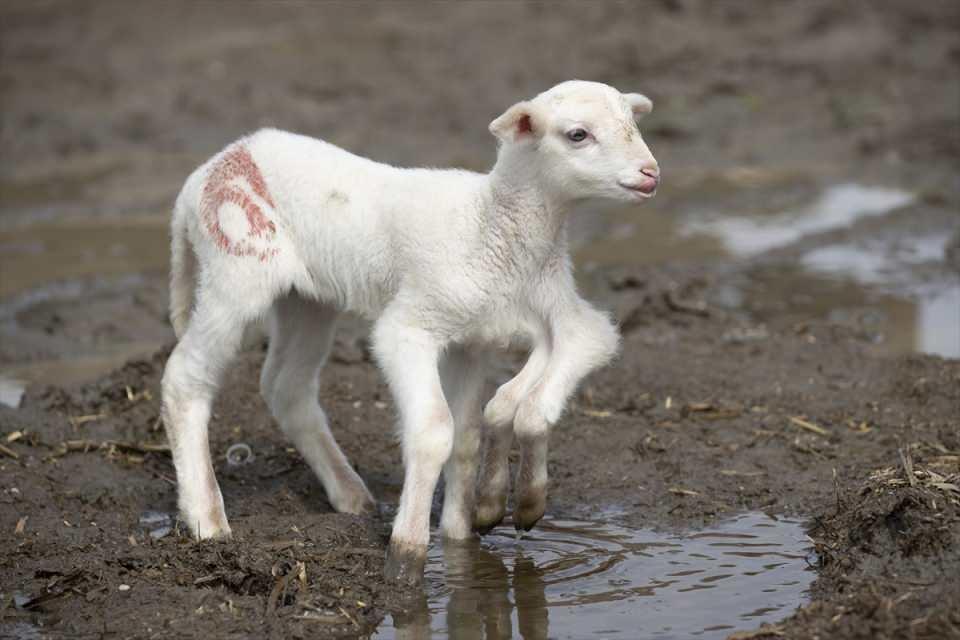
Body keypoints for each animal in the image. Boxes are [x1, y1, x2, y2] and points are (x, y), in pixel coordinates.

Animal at [165, 79, 660, 584]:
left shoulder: (494, 334)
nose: (651, 172)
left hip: (308, 299)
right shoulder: (411, 326)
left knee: (287, 386)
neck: (490, 225)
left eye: (633, 123)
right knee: (185, 378)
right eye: (578, 134)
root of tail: (200, 178)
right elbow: (436, 431)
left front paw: (479, 522)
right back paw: (207, 519)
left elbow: (484, 427)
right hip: (235, 270)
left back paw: (351, 495)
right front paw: (406, 557)